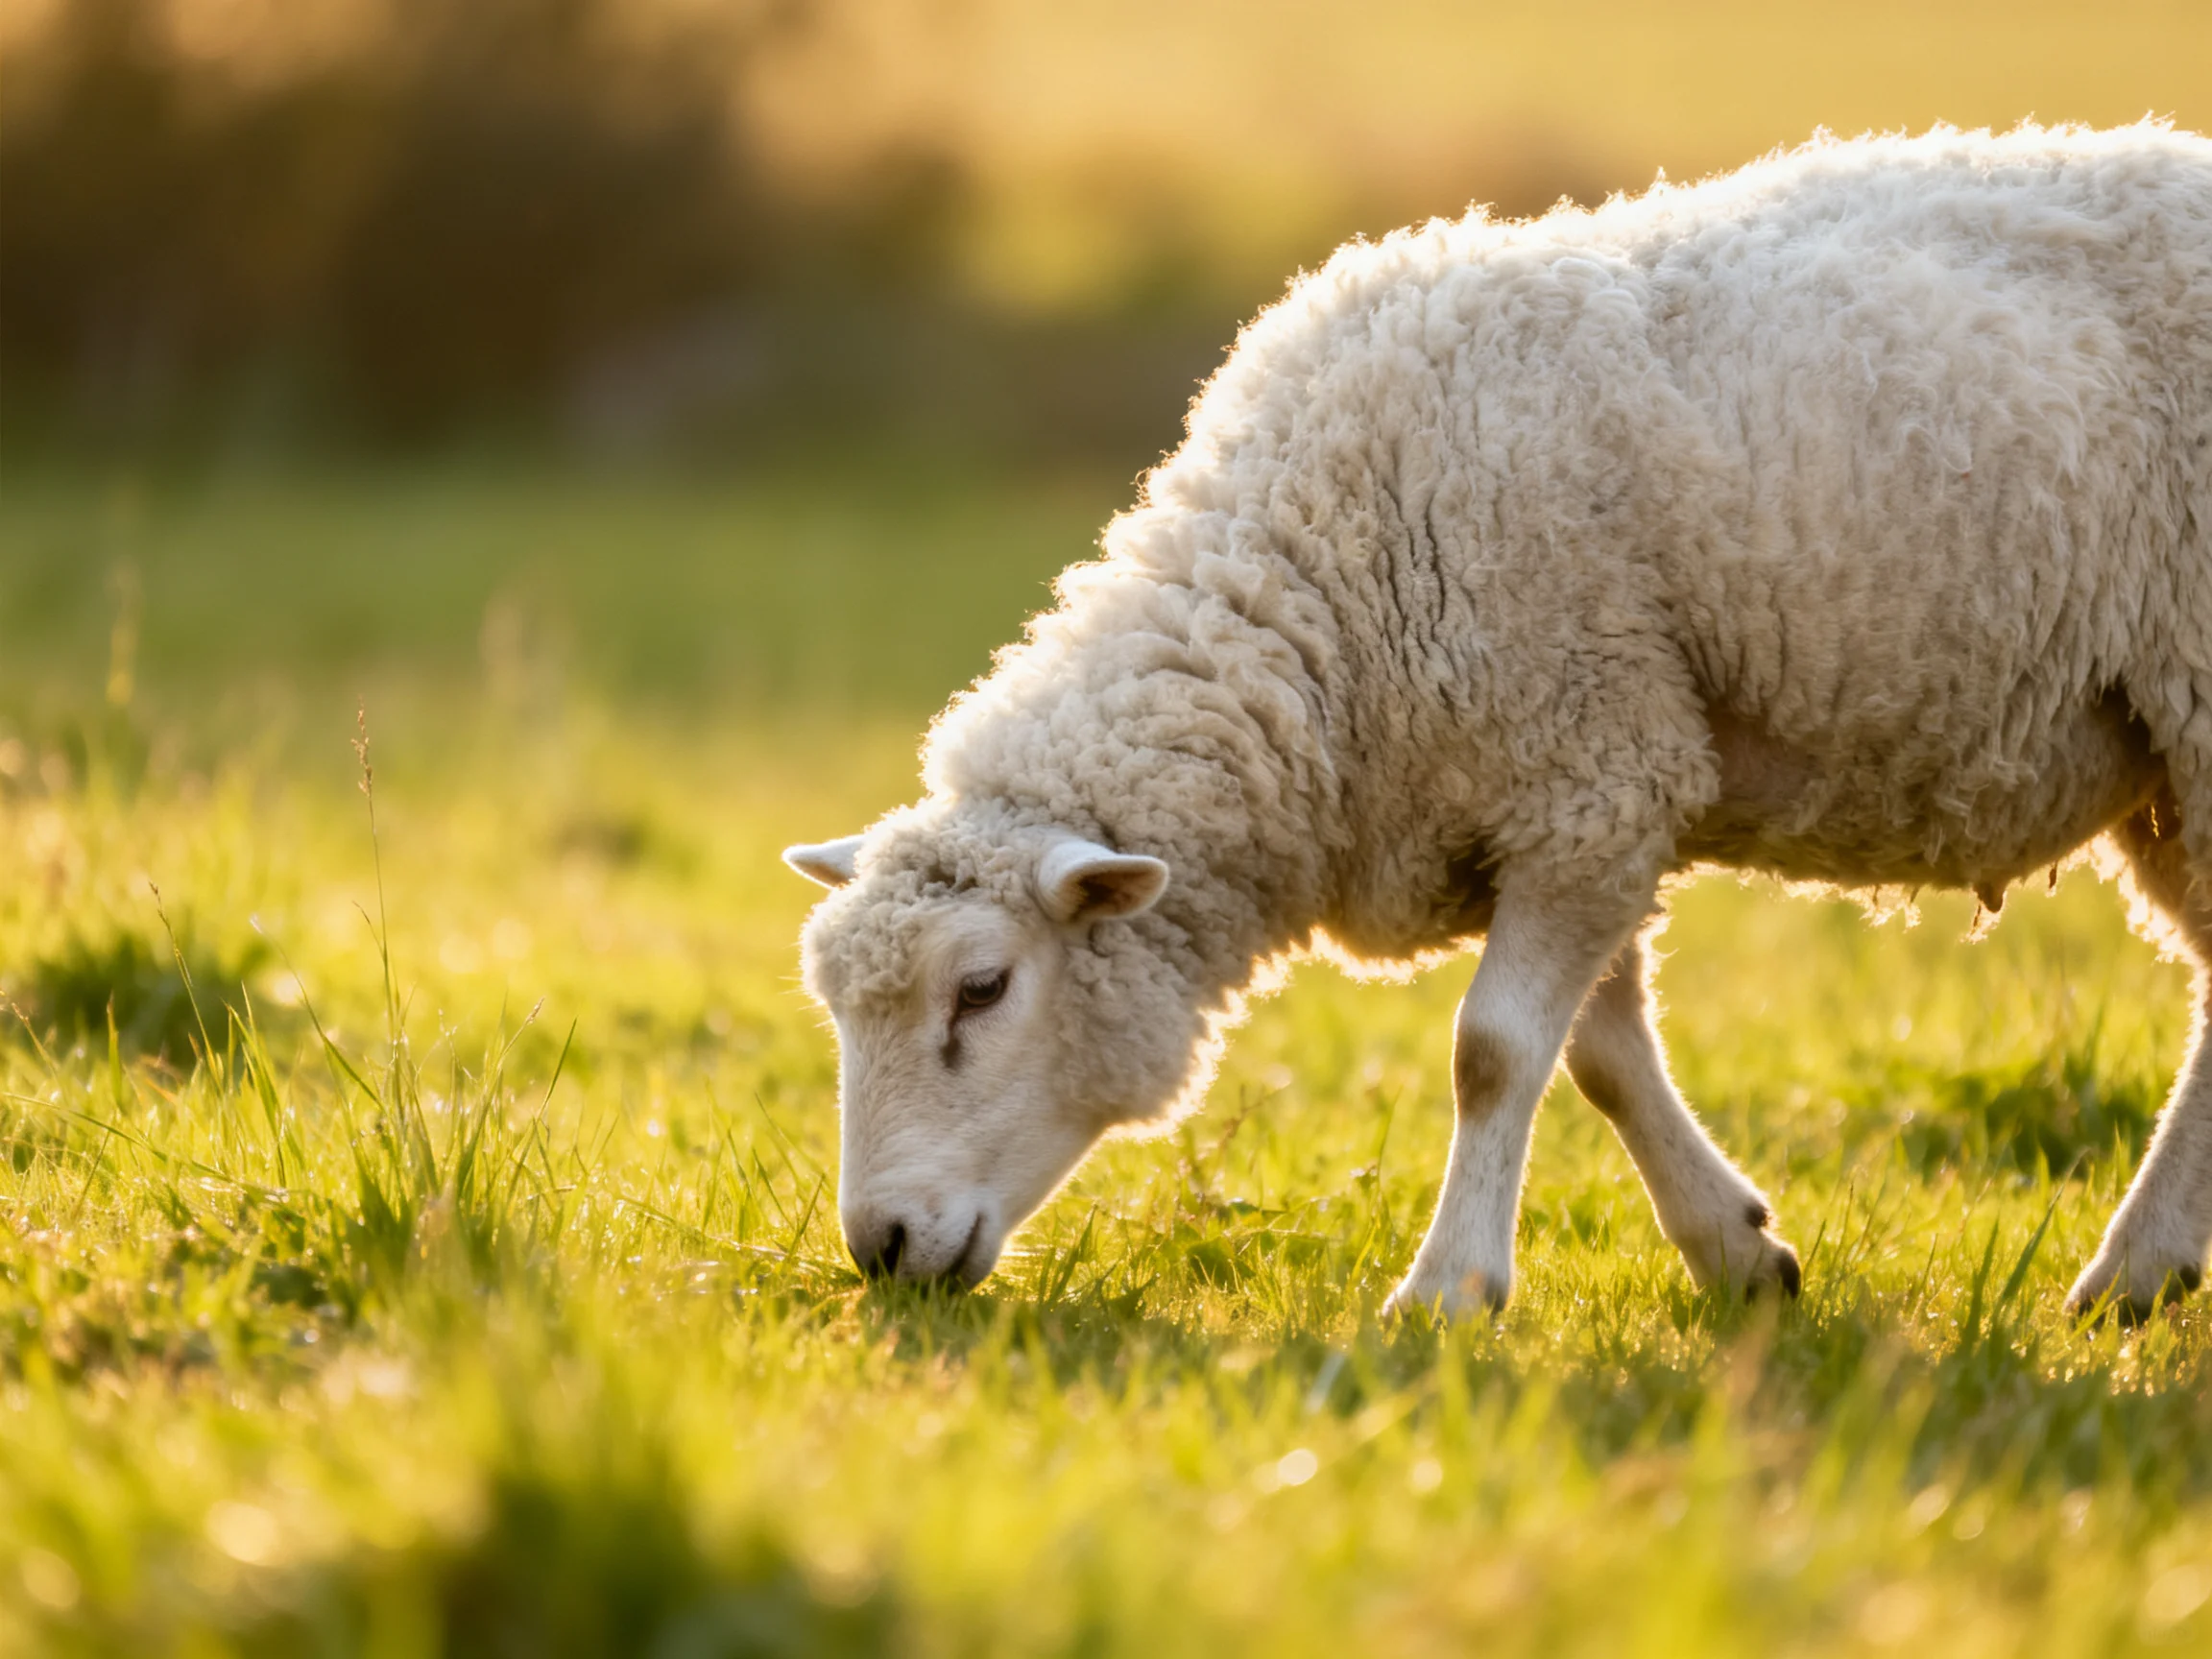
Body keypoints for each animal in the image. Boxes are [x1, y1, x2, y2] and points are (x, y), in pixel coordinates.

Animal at [786, 122, 2212, 1322]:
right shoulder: (1575, 802)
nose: (883, 1251)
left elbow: (1493, 1051)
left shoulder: (1595, 773)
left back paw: (2132, 1269)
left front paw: (1447, 1294)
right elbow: (1600, 1055)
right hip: (2153, 764)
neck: (1324, 593)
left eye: (982, 988)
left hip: (2195, 704)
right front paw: (1738, 1253)